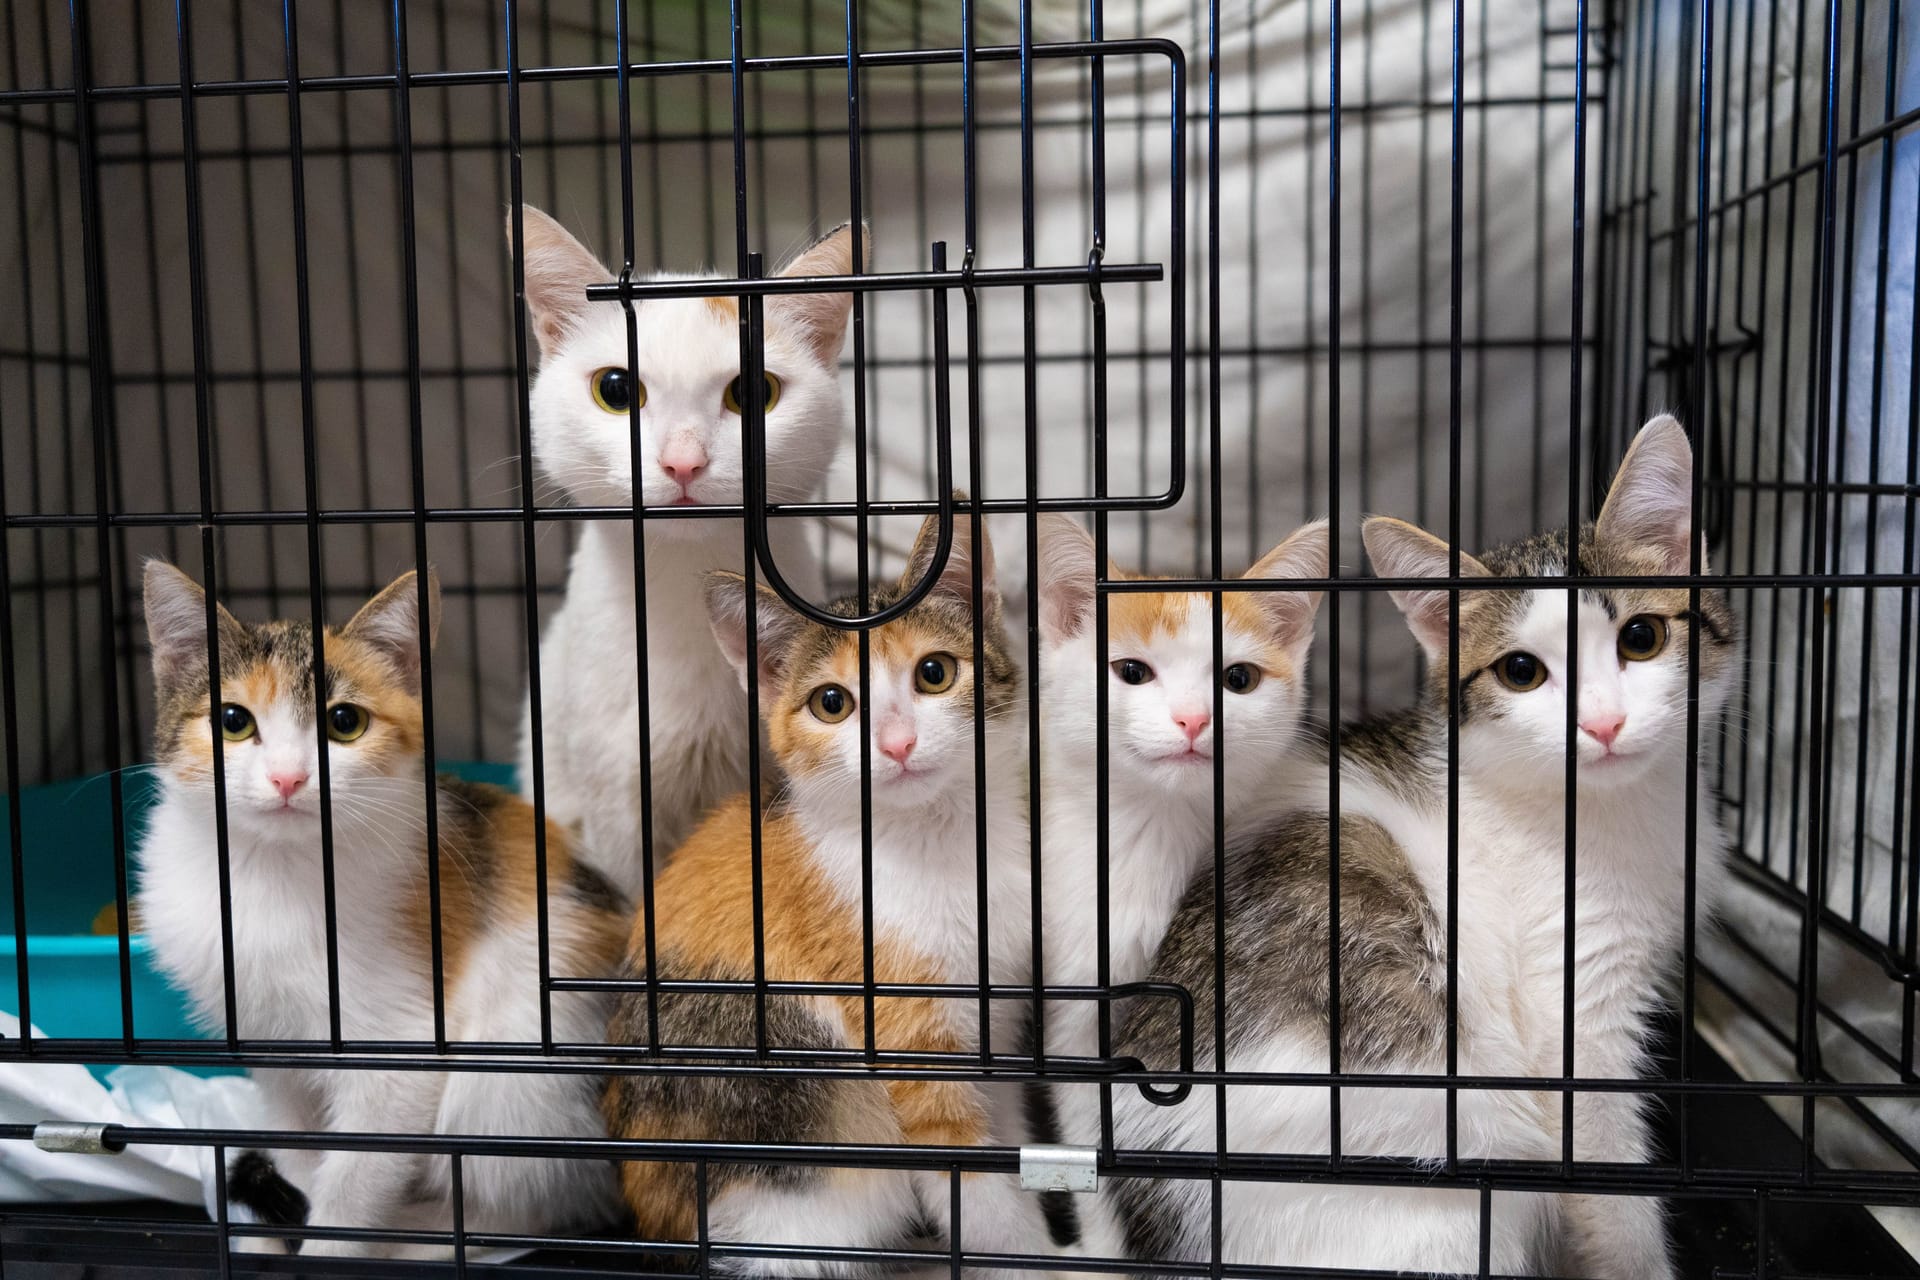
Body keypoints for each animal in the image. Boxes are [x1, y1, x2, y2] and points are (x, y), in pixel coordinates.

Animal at [137, 568, 629, 1258]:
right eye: (233, 721)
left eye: (344, 722)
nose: (288, 778)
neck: (274, 873)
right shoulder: (272, 1045)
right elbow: (299, 1147)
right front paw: (288, 1220)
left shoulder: (401, 1046)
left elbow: (354, 1176)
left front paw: (326, 1253)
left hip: (517, 1076)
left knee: (550, 1206)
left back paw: (428, 1232)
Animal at [602, 514, 1075, 1280]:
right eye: (833, 704)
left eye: (935, 673)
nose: (898, 742)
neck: (938, 841)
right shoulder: (906, 1031)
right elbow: (974, 1183)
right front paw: (1030, 1262)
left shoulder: (994, 1020)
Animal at [1029, 514, 1328, 1266]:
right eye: (1132, 672)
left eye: (1238, 678)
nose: (1193, 719)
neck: (1156, 834)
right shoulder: (1077, 979)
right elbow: (1084, 1139)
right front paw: (1104, 1253)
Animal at [1113, 416, 1743, 1274]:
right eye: (1522, 671)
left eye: (1641, 637)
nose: (1604, 723)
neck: (1611, 811)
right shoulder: (1573, 1013)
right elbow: (1613, 1188)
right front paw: (1636, 1263)